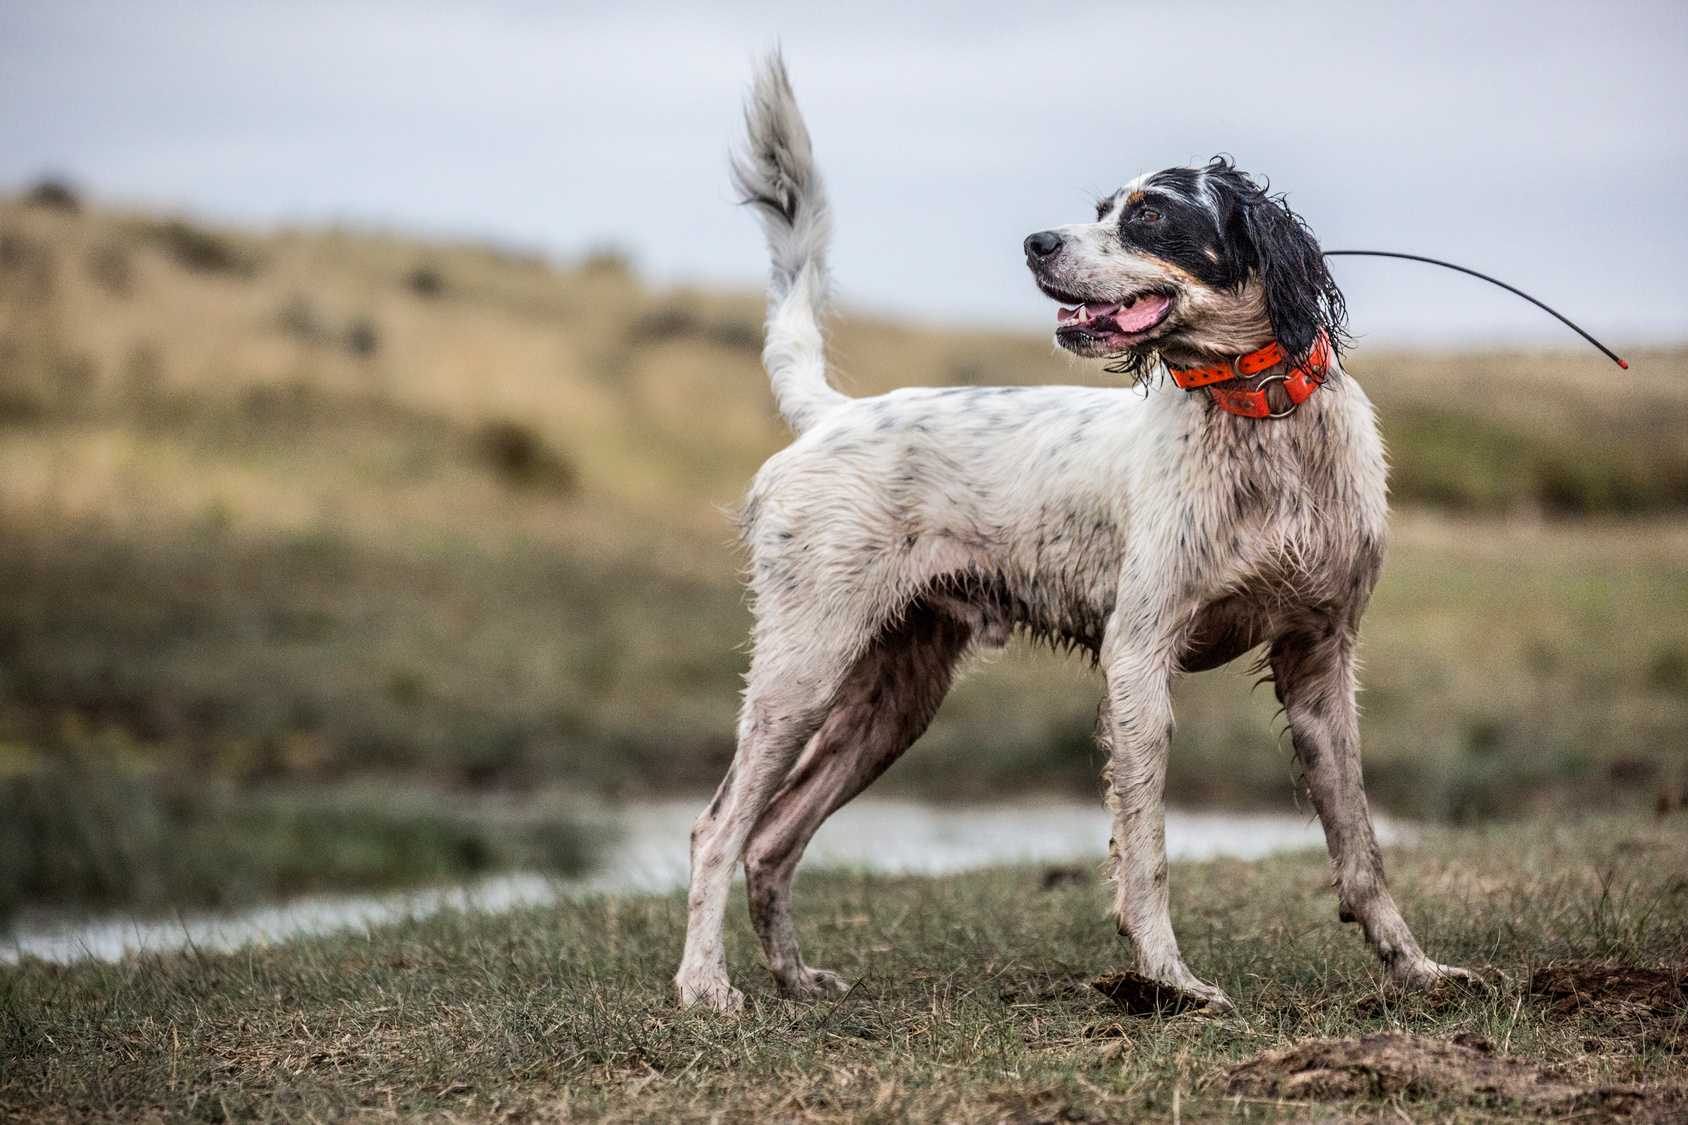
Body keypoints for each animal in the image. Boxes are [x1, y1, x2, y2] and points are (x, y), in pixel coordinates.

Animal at [678, 52, 1471, 1006]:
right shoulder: (1138, 655)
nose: (1035, 243)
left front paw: (1416, 964)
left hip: (894, 696)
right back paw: (704, 987)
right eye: (1099, 210)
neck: (1262, 421)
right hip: (804, 665)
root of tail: (834, 414)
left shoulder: (1320, 662)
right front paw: (1169, 978)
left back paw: (795, 977)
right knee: (719, 826)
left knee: (772, 834)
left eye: (1150, 214)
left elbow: (1361, 846)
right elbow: (1147, 849)